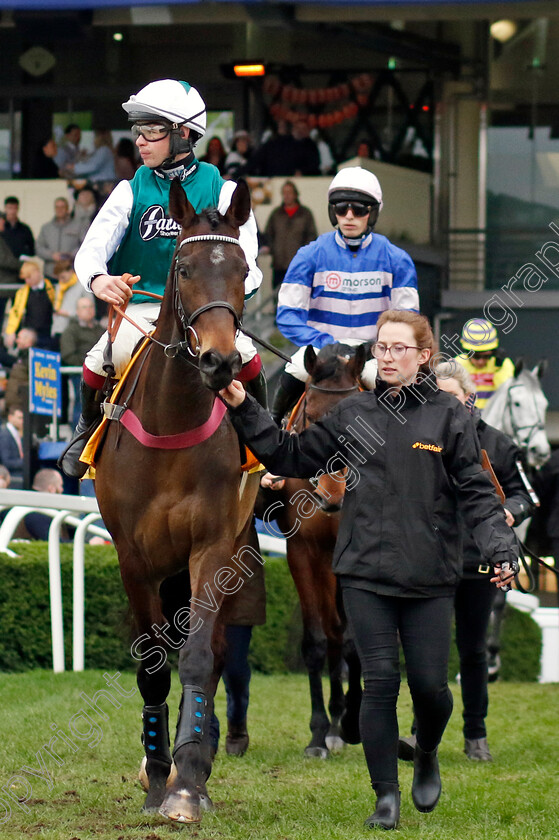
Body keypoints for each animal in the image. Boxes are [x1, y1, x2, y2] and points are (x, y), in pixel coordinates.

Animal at [94, 177, 262, 820]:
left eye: (242, 269)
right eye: (184, 268)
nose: (220, 360)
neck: (173, 422)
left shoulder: (211, 548)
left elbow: (196, 659)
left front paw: (187, 783)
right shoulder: (133, 560)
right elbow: (151, 665)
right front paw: (157, 772)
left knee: (209, 651)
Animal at [262, 344, 370, 756]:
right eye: (312, 418)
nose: (332, 495)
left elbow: (355, 642)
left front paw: (351, 723)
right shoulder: (303, 551)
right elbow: (315, 641)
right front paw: (318, 732)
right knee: (333, 631)